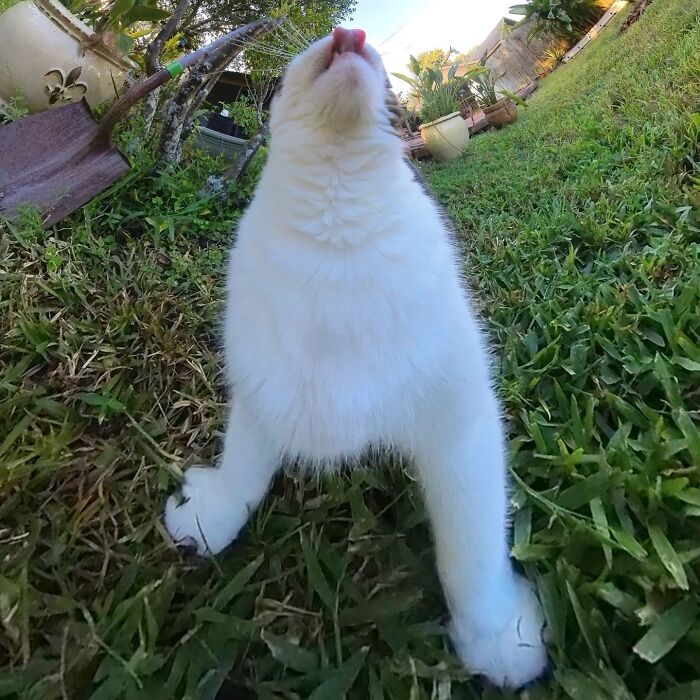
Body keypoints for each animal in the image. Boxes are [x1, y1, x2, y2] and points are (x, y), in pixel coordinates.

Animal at [164, 26, 548, 688]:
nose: (350, 34)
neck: (335, 231)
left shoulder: (460, 424)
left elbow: (470, 551)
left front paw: (497, 635)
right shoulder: (262, 394)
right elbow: (242, 474)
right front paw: (210, 520)